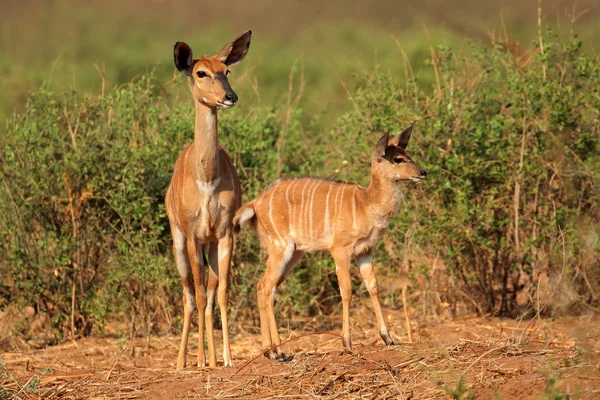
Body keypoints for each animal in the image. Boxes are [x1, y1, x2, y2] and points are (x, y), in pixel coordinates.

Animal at [164, 30, 251, 368]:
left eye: (226, 70)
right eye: (200, 72)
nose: (230, 97)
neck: (207, 178)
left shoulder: (225, 234)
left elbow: (221, 293)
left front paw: (226, 359)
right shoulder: (192, 236)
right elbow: (199, 295)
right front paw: (199, 361)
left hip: (211, 246)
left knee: (210, 294)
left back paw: (212, 357)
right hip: (179, 244)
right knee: (189, 294)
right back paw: (182, 362)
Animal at [232, 126, 424, 358]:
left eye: (407, 154)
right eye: (397, 159)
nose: (423, 172)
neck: (366, 204)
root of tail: (255, 203)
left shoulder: (365, 250)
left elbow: (373, 287)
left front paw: (388, 338)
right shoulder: (340, 249)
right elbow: (347, 291)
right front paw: (347, 343)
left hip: (294, 253)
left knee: (264, 287)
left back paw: (270, 352)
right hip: (281, 247)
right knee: (267, 286)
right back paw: (280, 352)